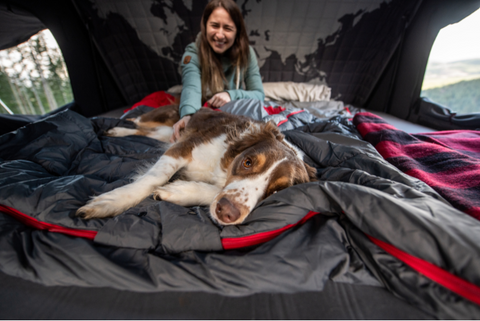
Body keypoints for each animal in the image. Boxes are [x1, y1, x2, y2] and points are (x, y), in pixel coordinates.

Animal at [77, 105, 316, 225]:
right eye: (247, 162)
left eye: (276, 191)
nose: (227, 213)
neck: (221, 167)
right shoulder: (183, 147)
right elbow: (155, 177)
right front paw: (111, 202)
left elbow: (214, 192)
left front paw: (177, 191)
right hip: (162, 122)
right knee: (138, 122)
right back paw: (117, 127)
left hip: (164, 134)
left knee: (144, 132)